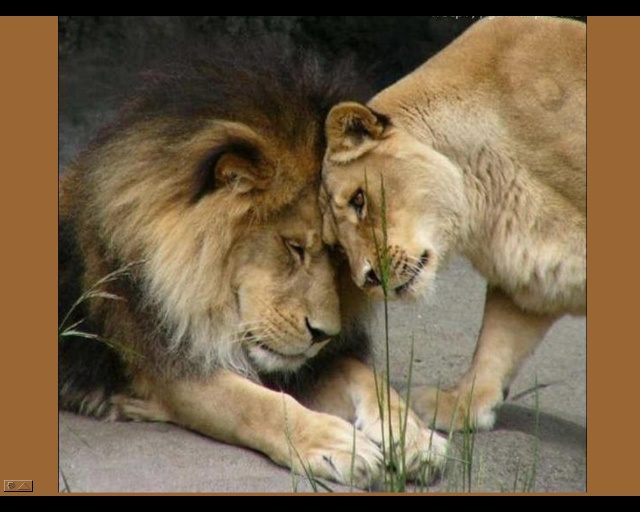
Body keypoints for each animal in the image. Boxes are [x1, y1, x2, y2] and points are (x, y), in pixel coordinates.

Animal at [58, 38, 447, 489]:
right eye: (294, 247)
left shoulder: (308, 365)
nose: (323, 334)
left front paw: (415, 437)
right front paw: (339, 445)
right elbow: (259, 406)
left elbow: (370, 379)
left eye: (338, 254)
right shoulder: (172, 370)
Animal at [321, 16, 586, 432]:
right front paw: (459, 405)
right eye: (334, 243)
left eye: (359, 201)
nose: (368, 279)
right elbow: (497, 343)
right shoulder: (535, 271)